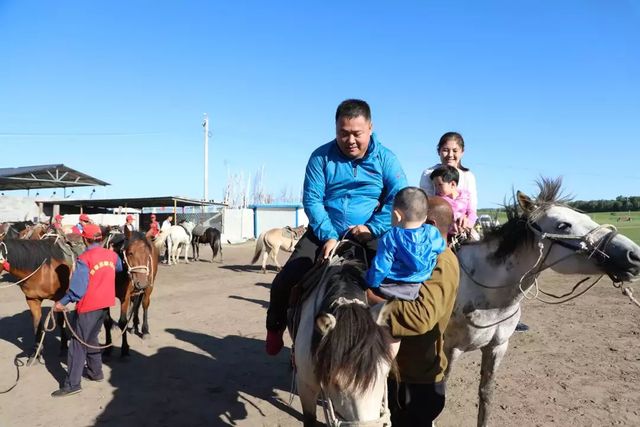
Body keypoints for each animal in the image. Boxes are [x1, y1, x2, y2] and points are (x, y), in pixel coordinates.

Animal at [444, 179, 640, 426]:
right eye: (563, 225)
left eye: (587, 218)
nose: (635, 255)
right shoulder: (450, 350)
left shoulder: (497, 347)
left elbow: (486, 395)